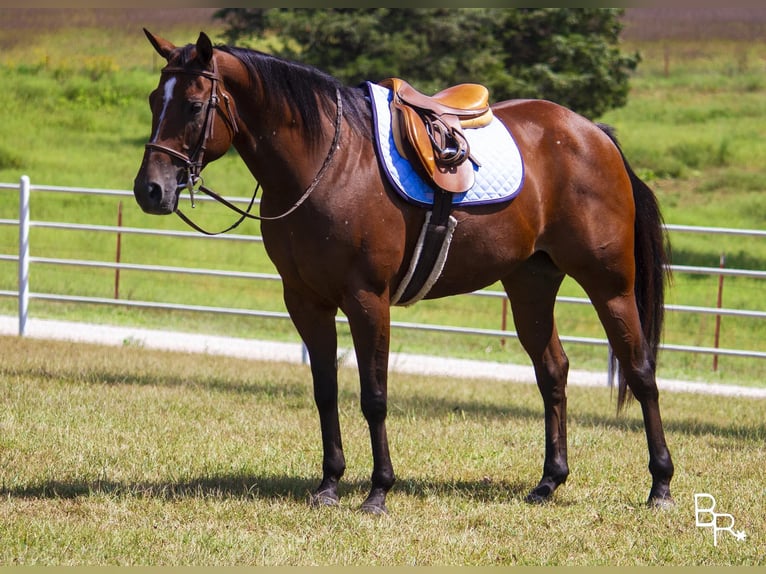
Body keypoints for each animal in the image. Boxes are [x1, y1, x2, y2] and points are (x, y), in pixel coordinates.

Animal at [135, 30, 676, 516]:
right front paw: (329, 485)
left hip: (610, 284)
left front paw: (378, 492)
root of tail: (594, 133)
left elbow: (374, 396)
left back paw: (661, 486)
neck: (328, 164)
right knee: (553, 372)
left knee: (641, 371)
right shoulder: (306, 301)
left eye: (194, 106)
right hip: (530, 284)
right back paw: (549, 481)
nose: (150, 190)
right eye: (153, 100)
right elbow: (325, 391)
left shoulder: (367, 299)